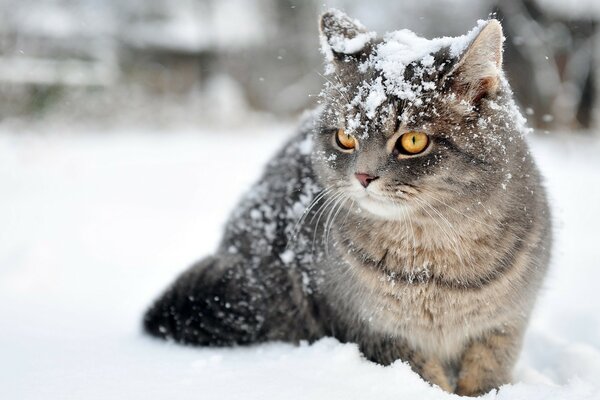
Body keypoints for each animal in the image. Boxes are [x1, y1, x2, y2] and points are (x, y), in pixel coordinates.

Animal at [143, 10, 552, 396]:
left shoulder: (503, 326)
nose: (363, 176)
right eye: (345, 138)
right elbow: (424, 376)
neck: (433, 262)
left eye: (413, 141)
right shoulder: (375, 330)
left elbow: (487, 374)